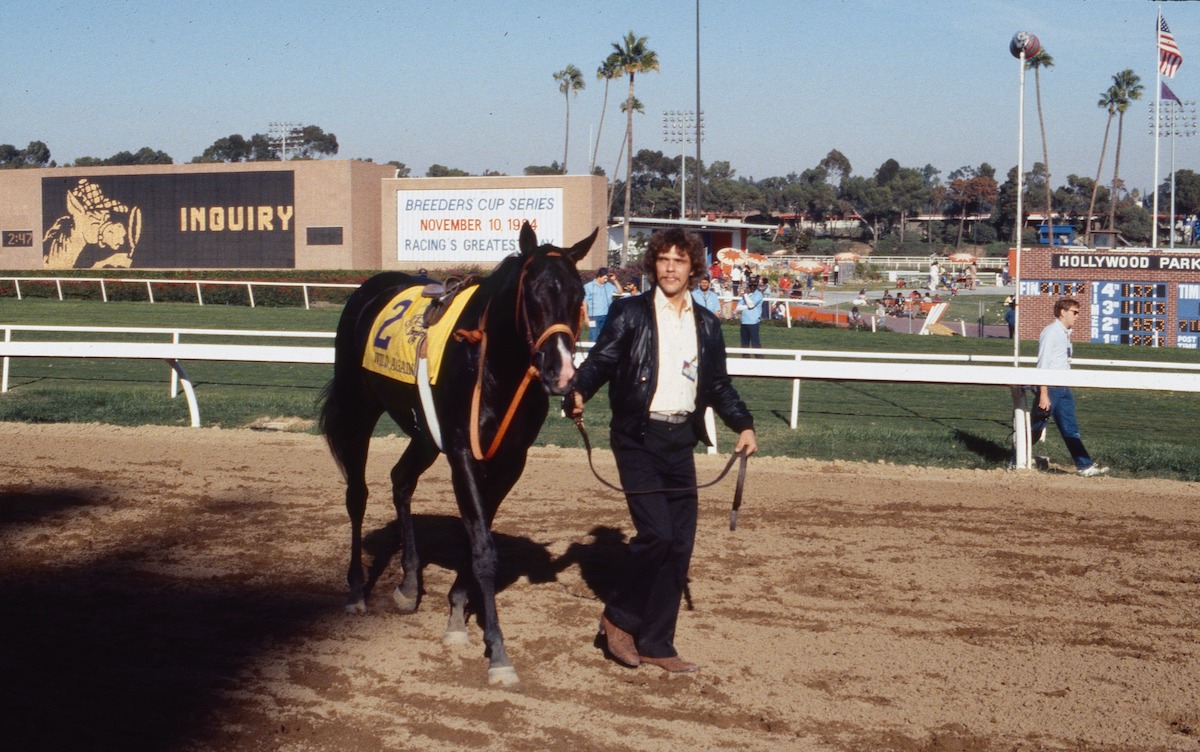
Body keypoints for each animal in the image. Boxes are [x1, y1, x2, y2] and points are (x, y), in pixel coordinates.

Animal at [319, 220, 595, 686]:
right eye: (534, 293)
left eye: (578, 295)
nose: (561, 373)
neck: (491, 361)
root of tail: (368, 289)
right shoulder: (463, 453)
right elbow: (483, 549)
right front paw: (497, 652)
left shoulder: (509, 461)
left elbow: (479, 536)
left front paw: (456, 612)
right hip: (359, 410)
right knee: (357, 496)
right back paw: (356, 589)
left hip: (424, 435)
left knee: (401, 480)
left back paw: (409, 584)